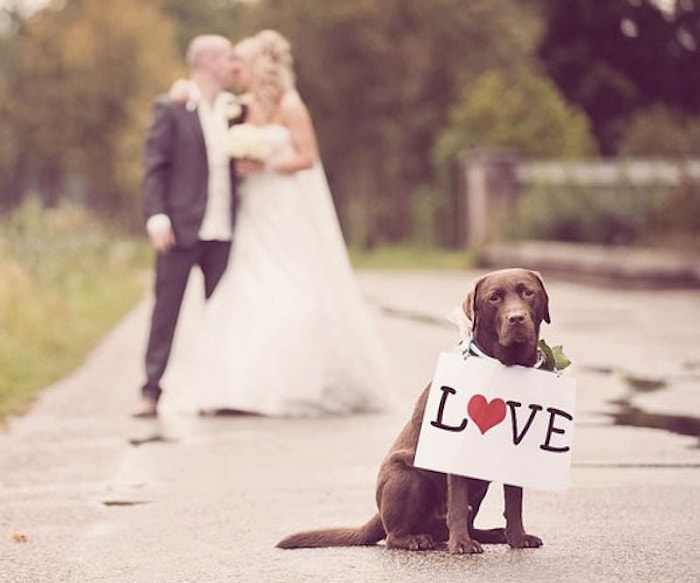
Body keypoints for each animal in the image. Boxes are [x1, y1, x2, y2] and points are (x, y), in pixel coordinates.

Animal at [276, 270, 548, 552]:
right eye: (494, 297)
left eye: (528, 292)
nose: (516, 318)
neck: (504, 369)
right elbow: (458, 504)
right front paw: (461, 544)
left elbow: (514, 501)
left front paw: (518, 538)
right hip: (408, 476)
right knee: (394, 535)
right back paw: (417, 539)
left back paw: (493, 533)